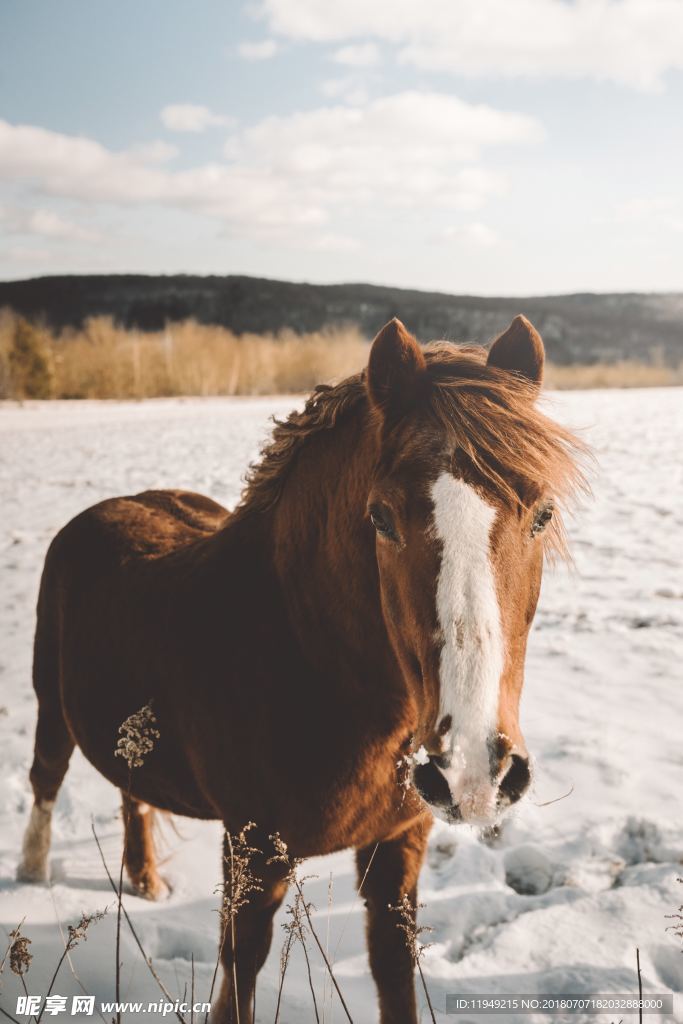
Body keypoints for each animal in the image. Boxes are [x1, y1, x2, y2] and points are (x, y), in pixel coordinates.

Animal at [15, 315, 581, 1024]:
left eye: (543, 513)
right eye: (381, 518)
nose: (474, 770)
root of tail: (114, 505)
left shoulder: (401, 841)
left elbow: (393, 968)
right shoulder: (255, 854)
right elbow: (240, 978)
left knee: (131, 793)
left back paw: (144, 877)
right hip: (49, 702)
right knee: (46, 778)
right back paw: (33, 874)